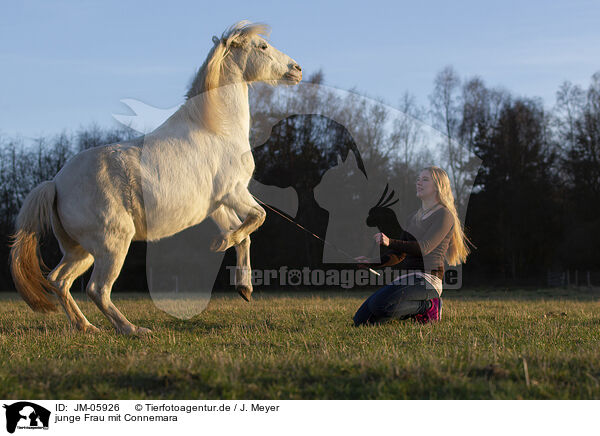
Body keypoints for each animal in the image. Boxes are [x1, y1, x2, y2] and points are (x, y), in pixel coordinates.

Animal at [12, 19, 304, 334]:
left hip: (81, 251)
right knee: (96, 289)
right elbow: (258, 218)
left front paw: (244, 288)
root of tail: (55, 184)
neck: (217, 128)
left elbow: (245, 233)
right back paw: (133, 330)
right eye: (262, 46)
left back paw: (87, 327)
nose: (297, 69)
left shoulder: (219, 204)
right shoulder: (234, 191)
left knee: (59, 280)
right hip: (112, 245)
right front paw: (220, 245)